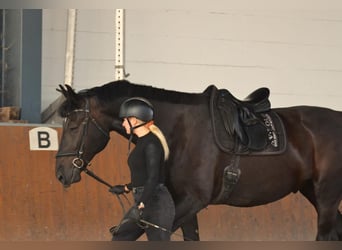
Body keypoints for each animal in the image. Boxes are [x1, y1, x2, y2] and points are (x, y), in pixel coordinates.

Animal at [54, 80, 342, 240]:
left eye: (74, 125)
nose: (61, 173)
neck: (179, 129)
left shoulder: (192, 201)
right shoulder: (179, 202)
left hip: (327, 196)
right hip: (313, 192)